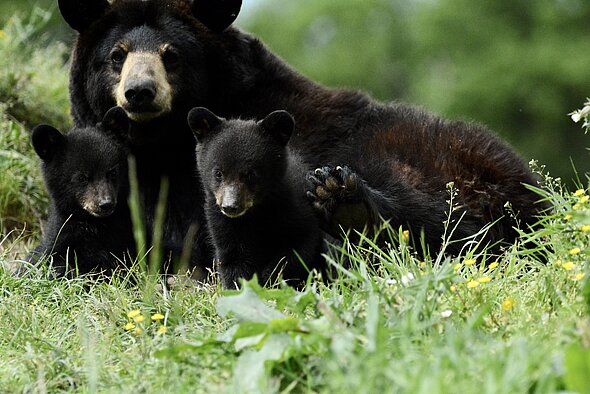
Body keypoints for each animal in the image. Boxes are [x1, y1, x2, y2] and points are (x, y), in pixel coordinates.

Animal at [57, 0, 548, 262]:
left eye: (172, 54)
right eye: (116, 55)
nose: (139, 92)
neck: (164, 143)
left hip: (430, 157)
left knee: (438, 218)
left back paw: (347, 202)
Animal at [190, 107, 328, 290]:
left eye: (250, 174)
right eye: (218, 173)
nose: (230, 206)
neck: (256, 213)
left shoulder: (297, 210)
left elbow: (298, 248)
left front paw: (270, 279)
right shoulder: (221, 222)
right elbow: (233, 260)